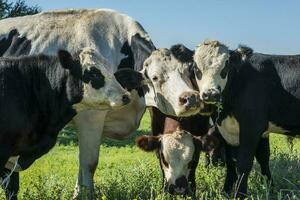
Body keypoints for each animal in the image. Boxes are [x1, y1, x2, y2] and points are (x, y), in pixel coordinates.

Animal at [0, 9, 204, 198]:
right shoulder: (90, 117)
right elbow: (89, 163)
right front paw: (83, 195)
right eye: (154, 77)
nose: (190, 97)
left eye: (187, 71)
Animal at [191, 39, 300, 198]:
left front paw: (239, 194)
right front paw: (226, 191)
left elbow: (243, 163)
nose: (210, 94)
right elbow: (238, 161)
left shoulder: (252, 127)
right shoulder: (228, 130)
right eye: (196, 68)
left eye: (226, 66)